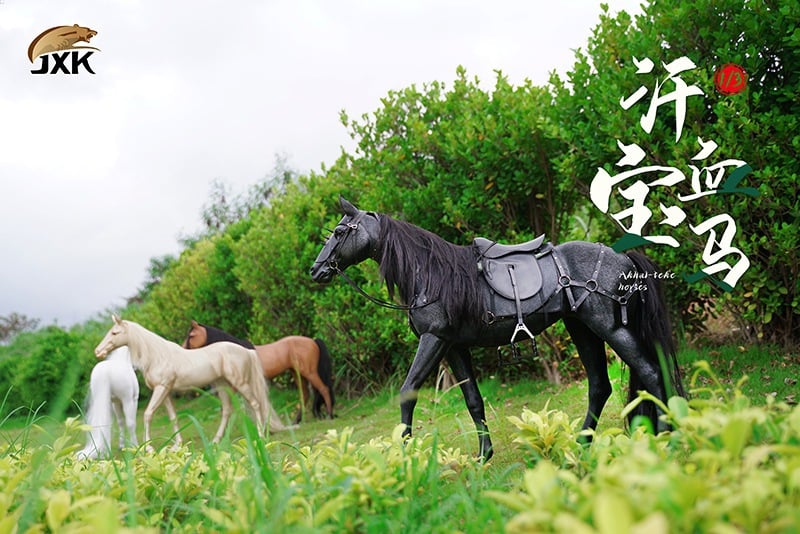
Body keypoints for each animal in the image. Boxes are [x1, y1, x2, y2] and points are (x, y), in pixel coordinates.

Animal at [94, 316, 291, 451]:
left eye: (114, 333)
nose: (98, 352)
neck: (157, 356)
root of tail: (245, 351)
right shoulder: (166, 392)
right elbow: (173, 417)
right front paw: (177, 445)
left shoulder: (161, 389)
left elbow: (148, 414)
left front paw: (149, 447)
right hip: (222, 385)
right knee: (227, 410)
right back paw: (216, 441)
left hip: (240, 383)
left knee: (256, 404)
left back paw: (261, 435)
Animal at [183, 321, 335, 423]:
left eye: (191, 335)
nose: (183, 349)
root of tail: (313, 341)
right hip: (297, 373)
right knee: (306, 394)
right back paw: (297, 421)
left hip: (309, 372)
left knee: (323, 389)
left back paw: (329, 414)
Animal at [311, 197, 685, 461]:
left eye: (340, 232)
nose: (316, 270)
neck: (433, 275)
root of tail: (624, 258)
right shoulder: (453, 346)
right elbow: (473, 400)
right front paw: (483, 455)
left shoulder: (433, 340)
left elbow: (408, 391)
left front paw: (406, 458)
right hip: (581, 327)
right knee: (600, 386)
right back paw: (581, 444)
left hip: (608, 327)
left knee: (651, 373)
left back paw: (666, 434)